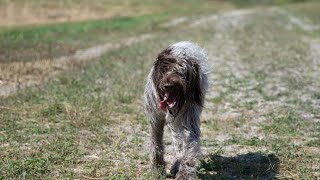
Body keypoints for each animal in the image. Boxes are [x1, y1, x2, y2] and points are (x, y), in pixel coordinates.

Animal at [144, 41, 209, 179]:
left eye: (181, 71)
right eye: (164, 70)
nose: (169, 85)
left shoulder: (189, 120)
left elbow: (188, 148)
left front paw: (184, 173)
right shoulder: (155, 118)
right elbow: (156, 141)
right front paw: (157, 168)